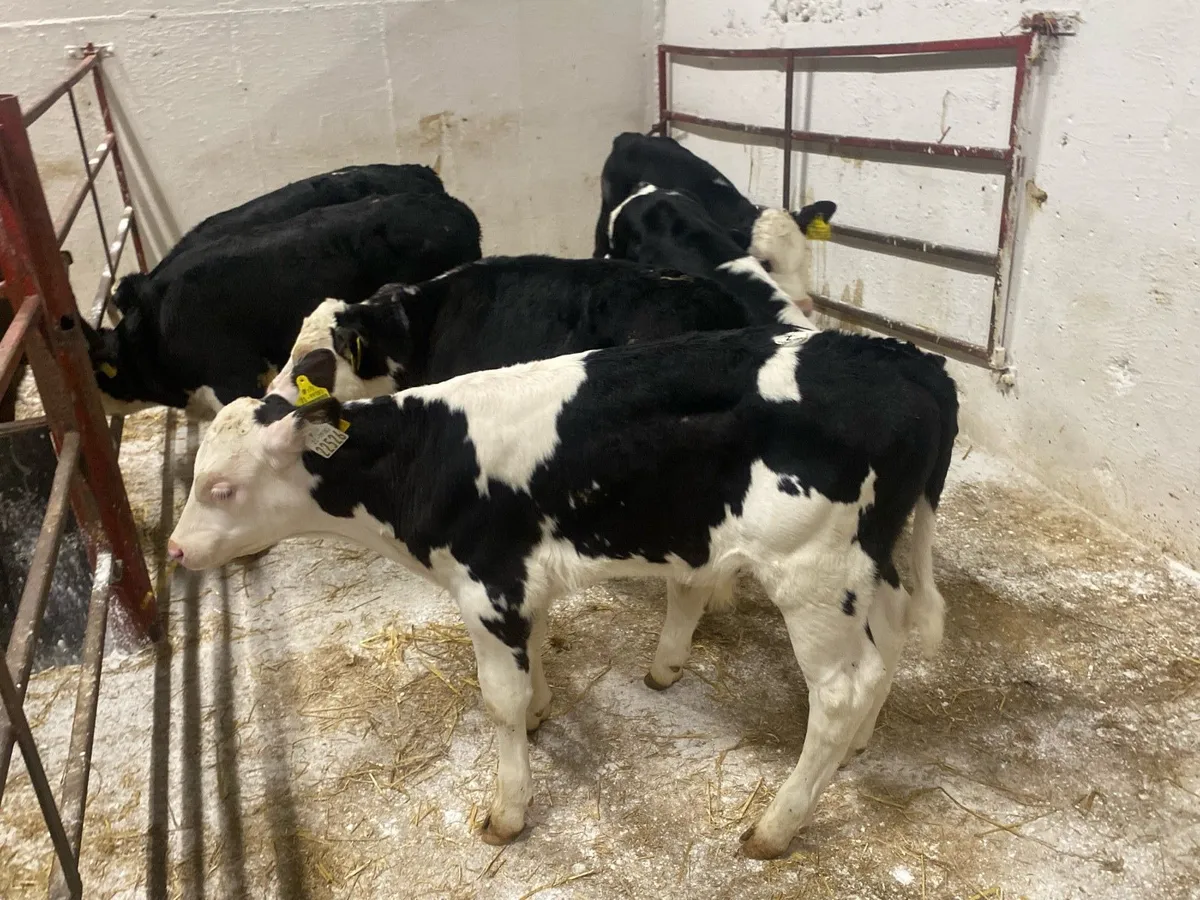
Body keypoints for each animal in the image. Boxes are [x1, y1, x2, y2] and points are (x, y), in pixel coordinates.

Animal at [168, 325, 958, 859]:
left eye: (222, 487)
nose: (175, 549)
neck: (429, 455)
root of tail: (912, 365)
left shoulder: (487, 587)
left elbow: (499, 700)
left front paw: (508, 810)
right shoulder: (521, 581)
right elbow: (539, 651)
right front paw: (545, 710)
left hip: (812, 573)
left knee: (838, 693)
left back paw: (775, 825)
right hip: (872, 560)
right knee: (887, 646)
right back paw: (856, 750)